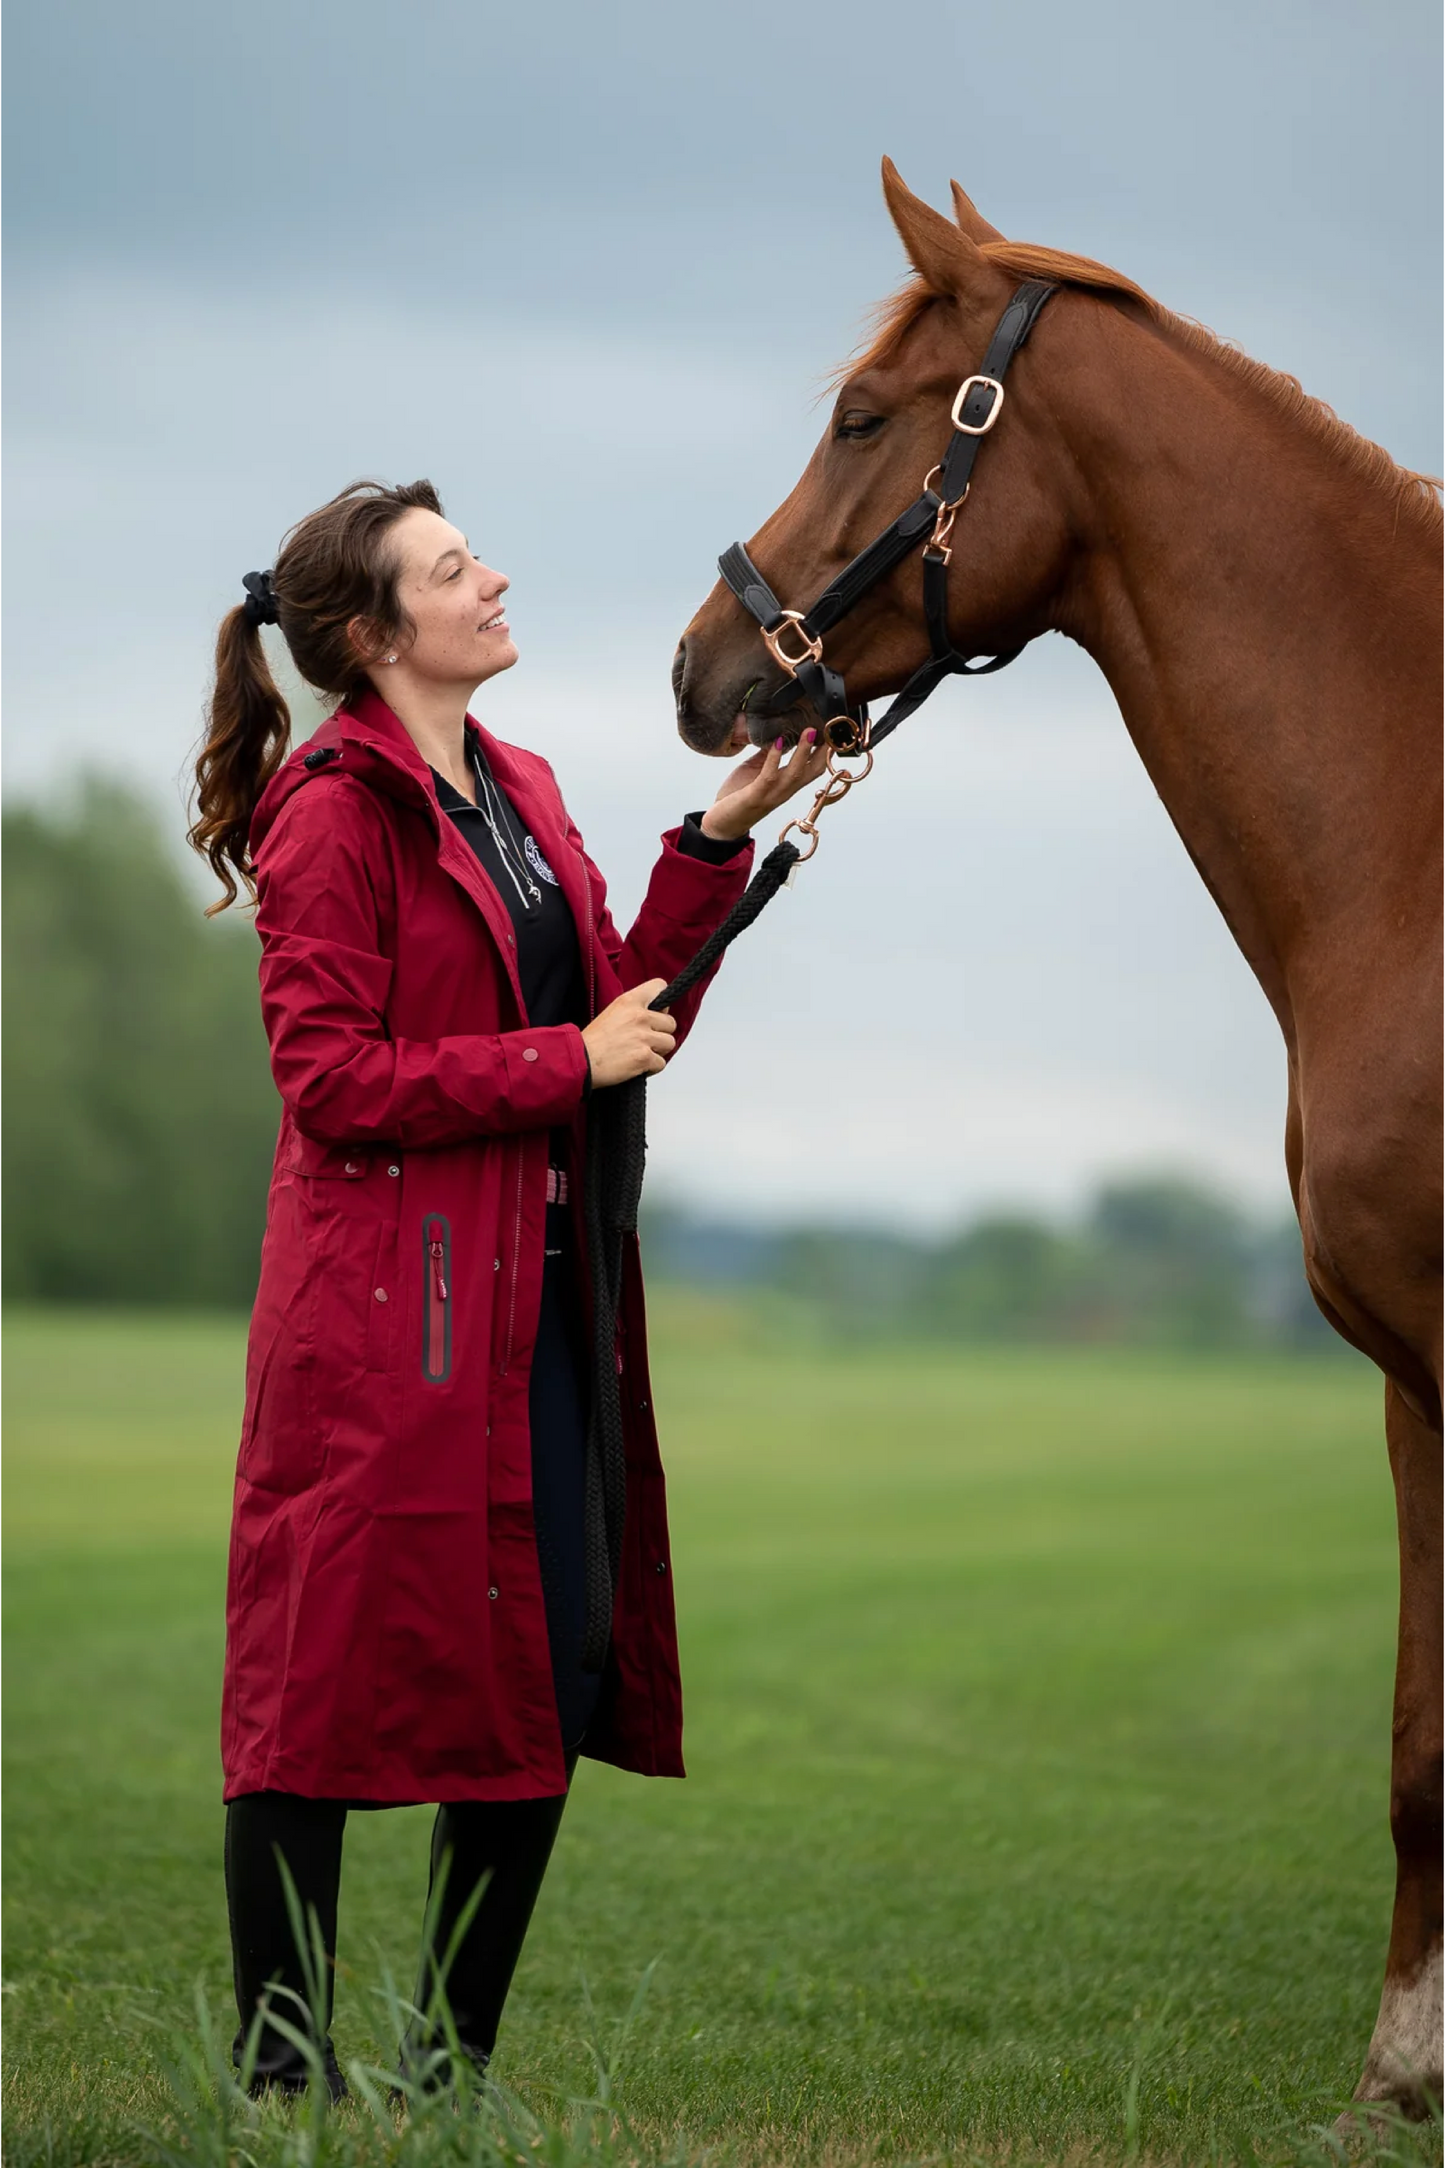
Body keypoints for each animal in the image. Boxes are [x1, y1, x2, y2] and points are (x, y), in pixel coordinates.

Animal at [680, 164, 1445, 2115]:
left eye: (861, 417)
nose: (699, 666)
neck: (1418, 854)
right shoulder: (1411, 1382)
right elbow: (1420, 1748)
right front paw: (1398, 2074)